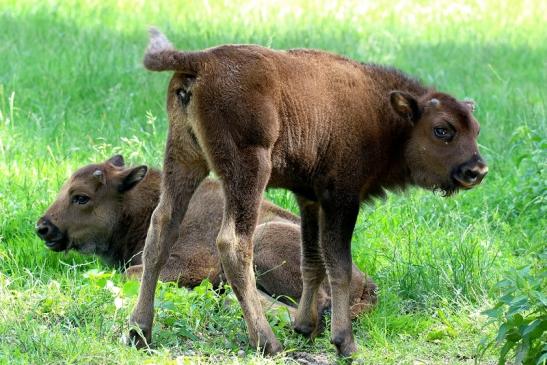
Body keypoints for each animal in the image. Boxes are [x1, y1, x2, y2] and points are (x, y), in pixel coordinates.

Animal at [35, 155, 376, 318]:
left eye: (81, 197)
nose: (43, 227)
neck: (141, 204)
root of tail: (367, 284)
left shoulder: (187, 263)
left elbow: (132, 273)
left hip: (264, 242)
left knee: (315, 305)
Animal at [132, 29, 488, 356]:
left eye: (475, 129)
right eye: (442, 129)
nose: (477, 170)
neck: (385, 116)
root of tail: (202, 59)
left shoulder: (309, 199)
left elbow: (312, 260)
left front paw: (305, 327)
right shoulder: (341, 199)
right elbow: (338, 265)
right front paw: (344, 342)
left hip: (184, 157)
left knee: (161, 228)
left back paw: (139, 332)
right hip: (248, 171)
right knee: (233, 243)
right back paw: (268, 342)